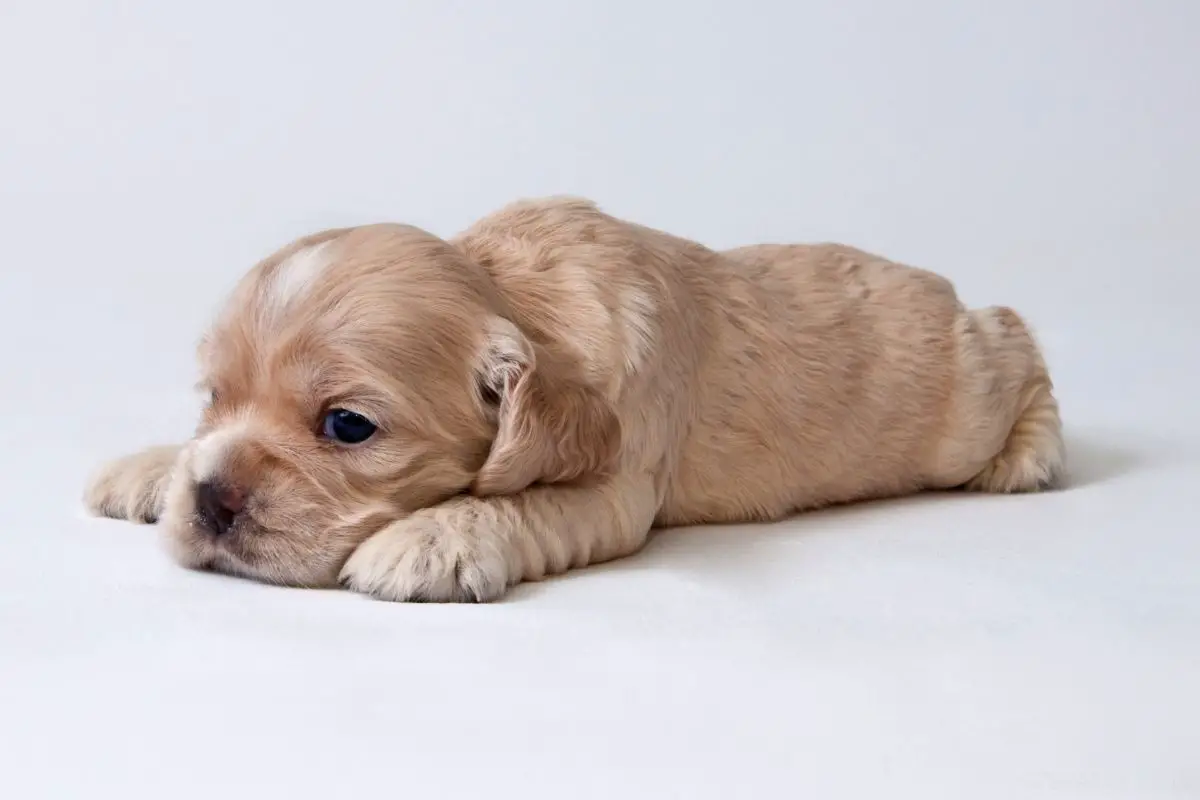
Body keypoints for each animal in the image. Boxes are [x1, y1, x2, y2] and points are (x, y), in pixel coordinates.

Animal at [84, 196, 1065, 604]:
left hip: (960, 399)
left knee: (1012, 335)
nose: (212, 501)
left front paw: (430, 540)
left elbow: (513, 505)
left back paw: (1033, 450)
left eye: (347, 426)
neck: (519, 295)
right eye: (215, 398)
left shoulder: (616, 485)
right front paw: (152, 470)